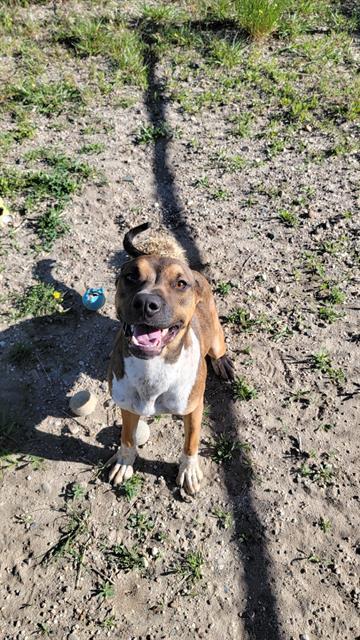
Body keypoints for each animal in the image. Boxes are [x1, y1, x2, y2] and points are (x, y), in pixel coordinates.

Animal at [107, 222, 233, 498]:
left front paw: (189, 470)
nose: (146, 302)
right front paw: (124, 461)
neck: (152, 368)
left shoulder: (194, 408)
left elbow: (191, 441)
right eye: (131, 276)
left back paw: (222, 362)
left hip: (216, 336)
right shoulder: (127, 406)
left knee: (218, 349)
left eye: (181, 283)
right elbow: (127, 437)